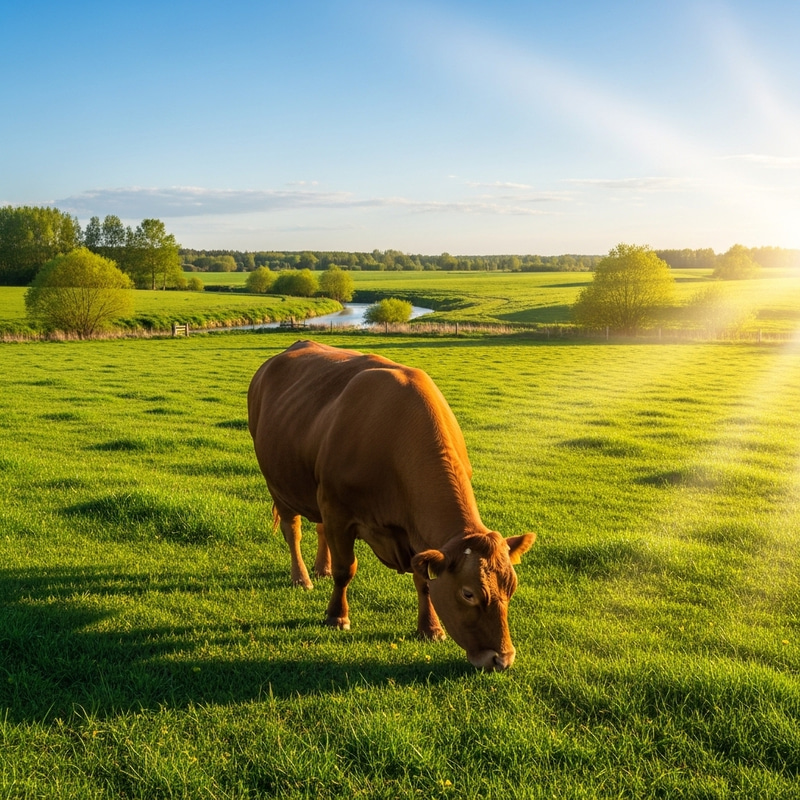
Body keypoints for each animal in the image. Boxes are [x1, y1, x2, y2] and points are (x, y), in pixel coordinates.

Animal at [247, 340, 535, 671]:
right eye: (468, 593)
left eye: (511, 588)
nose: (502, 658)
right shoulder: (338, 510)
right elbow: (346, 569)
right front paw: (337, 617)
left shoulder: (415, 537)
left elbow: (424, 581)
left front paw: (430, 629)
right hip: (278, 484)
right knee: (292, 530)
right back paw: (302, 578)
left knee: (319, 529)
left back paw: (321, 569)